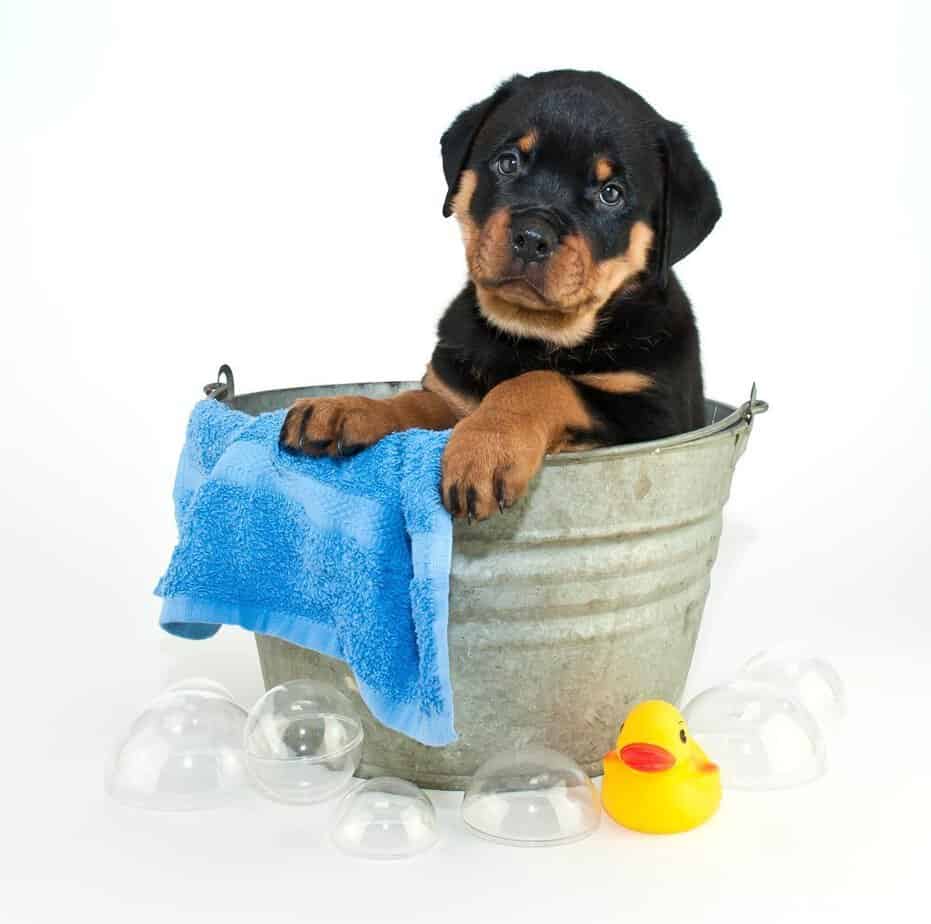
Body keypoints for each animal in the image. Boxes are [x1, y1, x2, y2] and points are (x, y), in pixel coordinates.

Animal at [280, 71, 724, 520]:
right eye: (508, 162)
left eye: (611, 193)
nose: (531, 237)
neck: (530, 333)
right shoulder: (454, 394)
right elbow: (417, 404)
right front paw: (353, 407)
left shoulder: (652, 413)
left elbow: (543, 382)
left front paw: (485, 447)